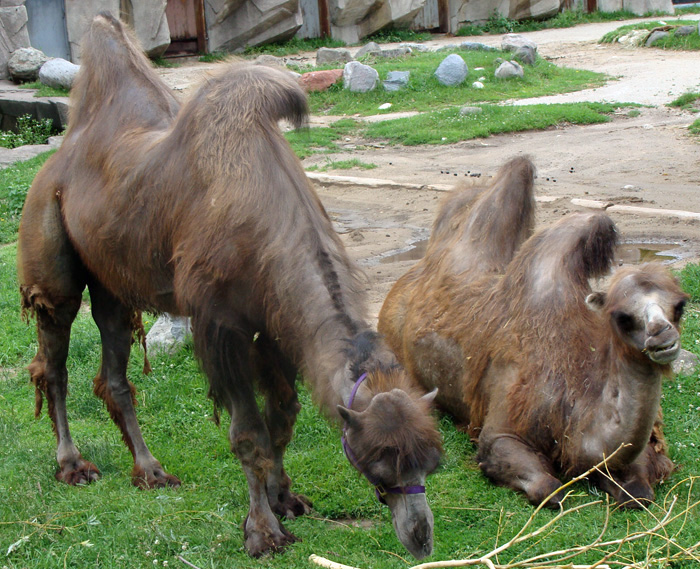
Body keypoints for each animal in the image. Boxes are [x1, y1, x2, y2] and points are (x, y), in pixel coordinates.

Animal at [17, 11, 442, 556]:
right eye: (379, 464)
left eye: (431, 461)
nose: (421, 538)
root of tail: (61, 154)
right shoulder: (222, 327)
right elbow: (248, 433)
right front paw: (262, 531)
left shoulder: (277, 320)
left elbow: (283, 418)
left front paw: (286, 499)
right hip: (49, 246)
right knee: (52, 362)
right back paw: (72, 465)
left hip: (111, 280)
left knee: (113, 373)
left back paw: (150, 471)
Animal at [380, 158, 688, 508]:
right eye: (622, 317)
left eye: (680, 306)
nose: (662, 337)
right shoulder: (501, 427)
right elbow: (548, 489)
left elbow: (637, 492)